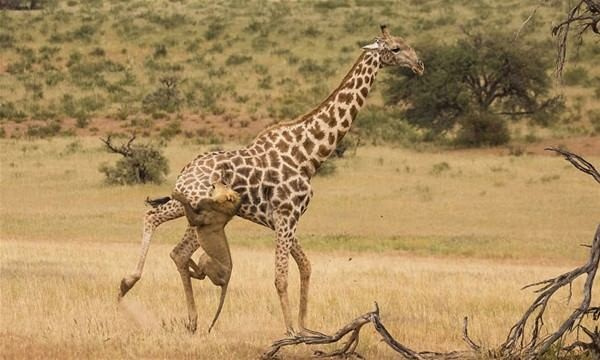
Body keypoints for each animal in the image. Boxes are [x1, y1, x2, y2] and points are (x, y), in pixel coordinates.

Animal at [119, 26, 424, 338]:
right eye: (396, 48)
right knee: (159, 225)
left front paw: (305, 327)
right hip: (199, 208)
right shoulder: (286, 216)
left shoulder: (286, 219)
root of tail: (184, 170)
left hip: (193, 209)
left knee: (172, 244)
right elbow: (281, 277)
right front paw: (290, 334)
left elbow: (305, 266)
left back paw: (189, 320)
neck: (308, 155)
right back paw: (131, 283)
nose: (420, 65)